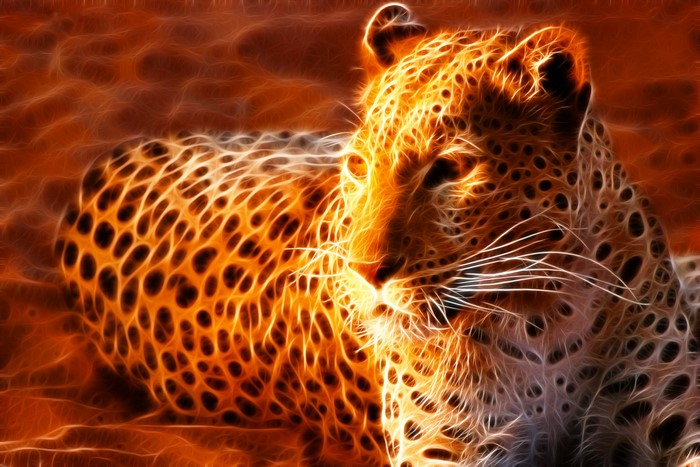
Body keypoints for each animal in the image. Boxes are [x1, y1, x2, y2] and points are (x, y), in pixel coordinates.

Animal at [55, 4, 699, 466]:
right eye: (360, 165)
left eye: (450, 170)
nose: (365, 274)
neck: (542, 310)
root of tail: (115, 154)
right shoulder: (449, 447)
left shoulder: (674, 418)